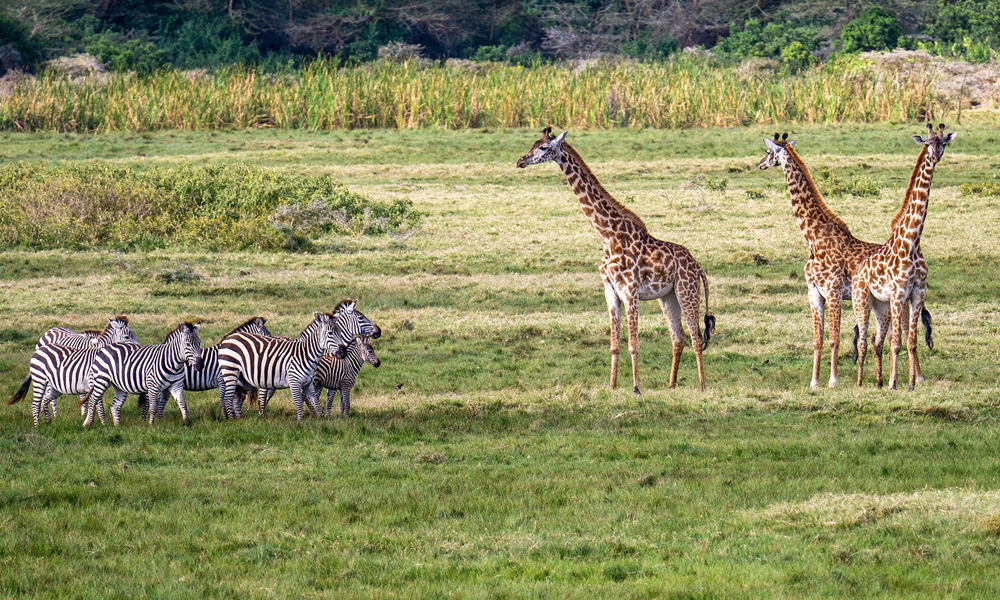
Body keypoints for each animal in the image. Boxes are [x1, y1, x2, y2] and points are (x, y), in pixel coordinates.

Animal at [7, 318, 140, 426]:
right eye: (127, 337)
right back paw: (42, 422)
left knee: (45, 398)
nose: (139, 348)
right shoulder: (92, 381)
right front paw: (101, 423)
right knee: (39, 401)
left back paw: (47, 418)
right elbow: (97, 403)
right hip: (42, 379)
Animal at [244, 300, 380, 418]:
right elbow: (316, 396)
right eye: (361, 318)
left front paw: (325, 415)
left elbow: (326, 397)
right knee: (262, 395)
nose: (379, 331)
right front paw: (316, 414)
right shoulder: (320, 378)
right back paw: (261, 414)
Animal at [516, 126, 720, 394]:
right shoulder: (610, 292)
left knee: (696, 337)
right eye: (532, 144)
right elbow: (614, 344)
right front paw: (612, 386)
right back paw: (671, 385)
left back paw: (703, 386)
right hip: (668, 297)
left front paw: (636, 388)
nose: (520, 161)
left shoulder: (630, 292)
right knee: (679, 337)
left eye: (543, 147)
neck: (607, 235)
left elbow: (634, 343)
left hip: (687, 291)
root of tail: (698, 267)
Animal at [760, 130, 932, 390]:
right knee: (884, 336)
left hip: (901, 298)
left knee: (903, 332)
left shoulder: (833, 290)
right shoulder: (814, 292)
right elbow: (817, 340)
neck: (814, 239)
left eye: (769, 151)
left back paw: (917, 378)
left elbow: (834, 339)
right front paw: (814, 381)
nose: (760, 164)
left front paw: (833, 380)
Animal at [856, 124, 956, 392]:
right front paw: (894, 383)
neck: (912, 242)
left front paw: (910, 383)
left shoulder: (918, 292)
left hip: (881, 305)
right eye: (927, 143)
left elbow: (911, 341)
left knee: (875, 338)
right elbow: (897, 342)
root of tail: (858, 270)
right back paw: (861, 382)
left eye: (943, 142)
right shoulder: (899, 293)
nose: (935, 155)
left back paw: (878, 381)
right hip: (862, 300)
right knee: (864, 340)